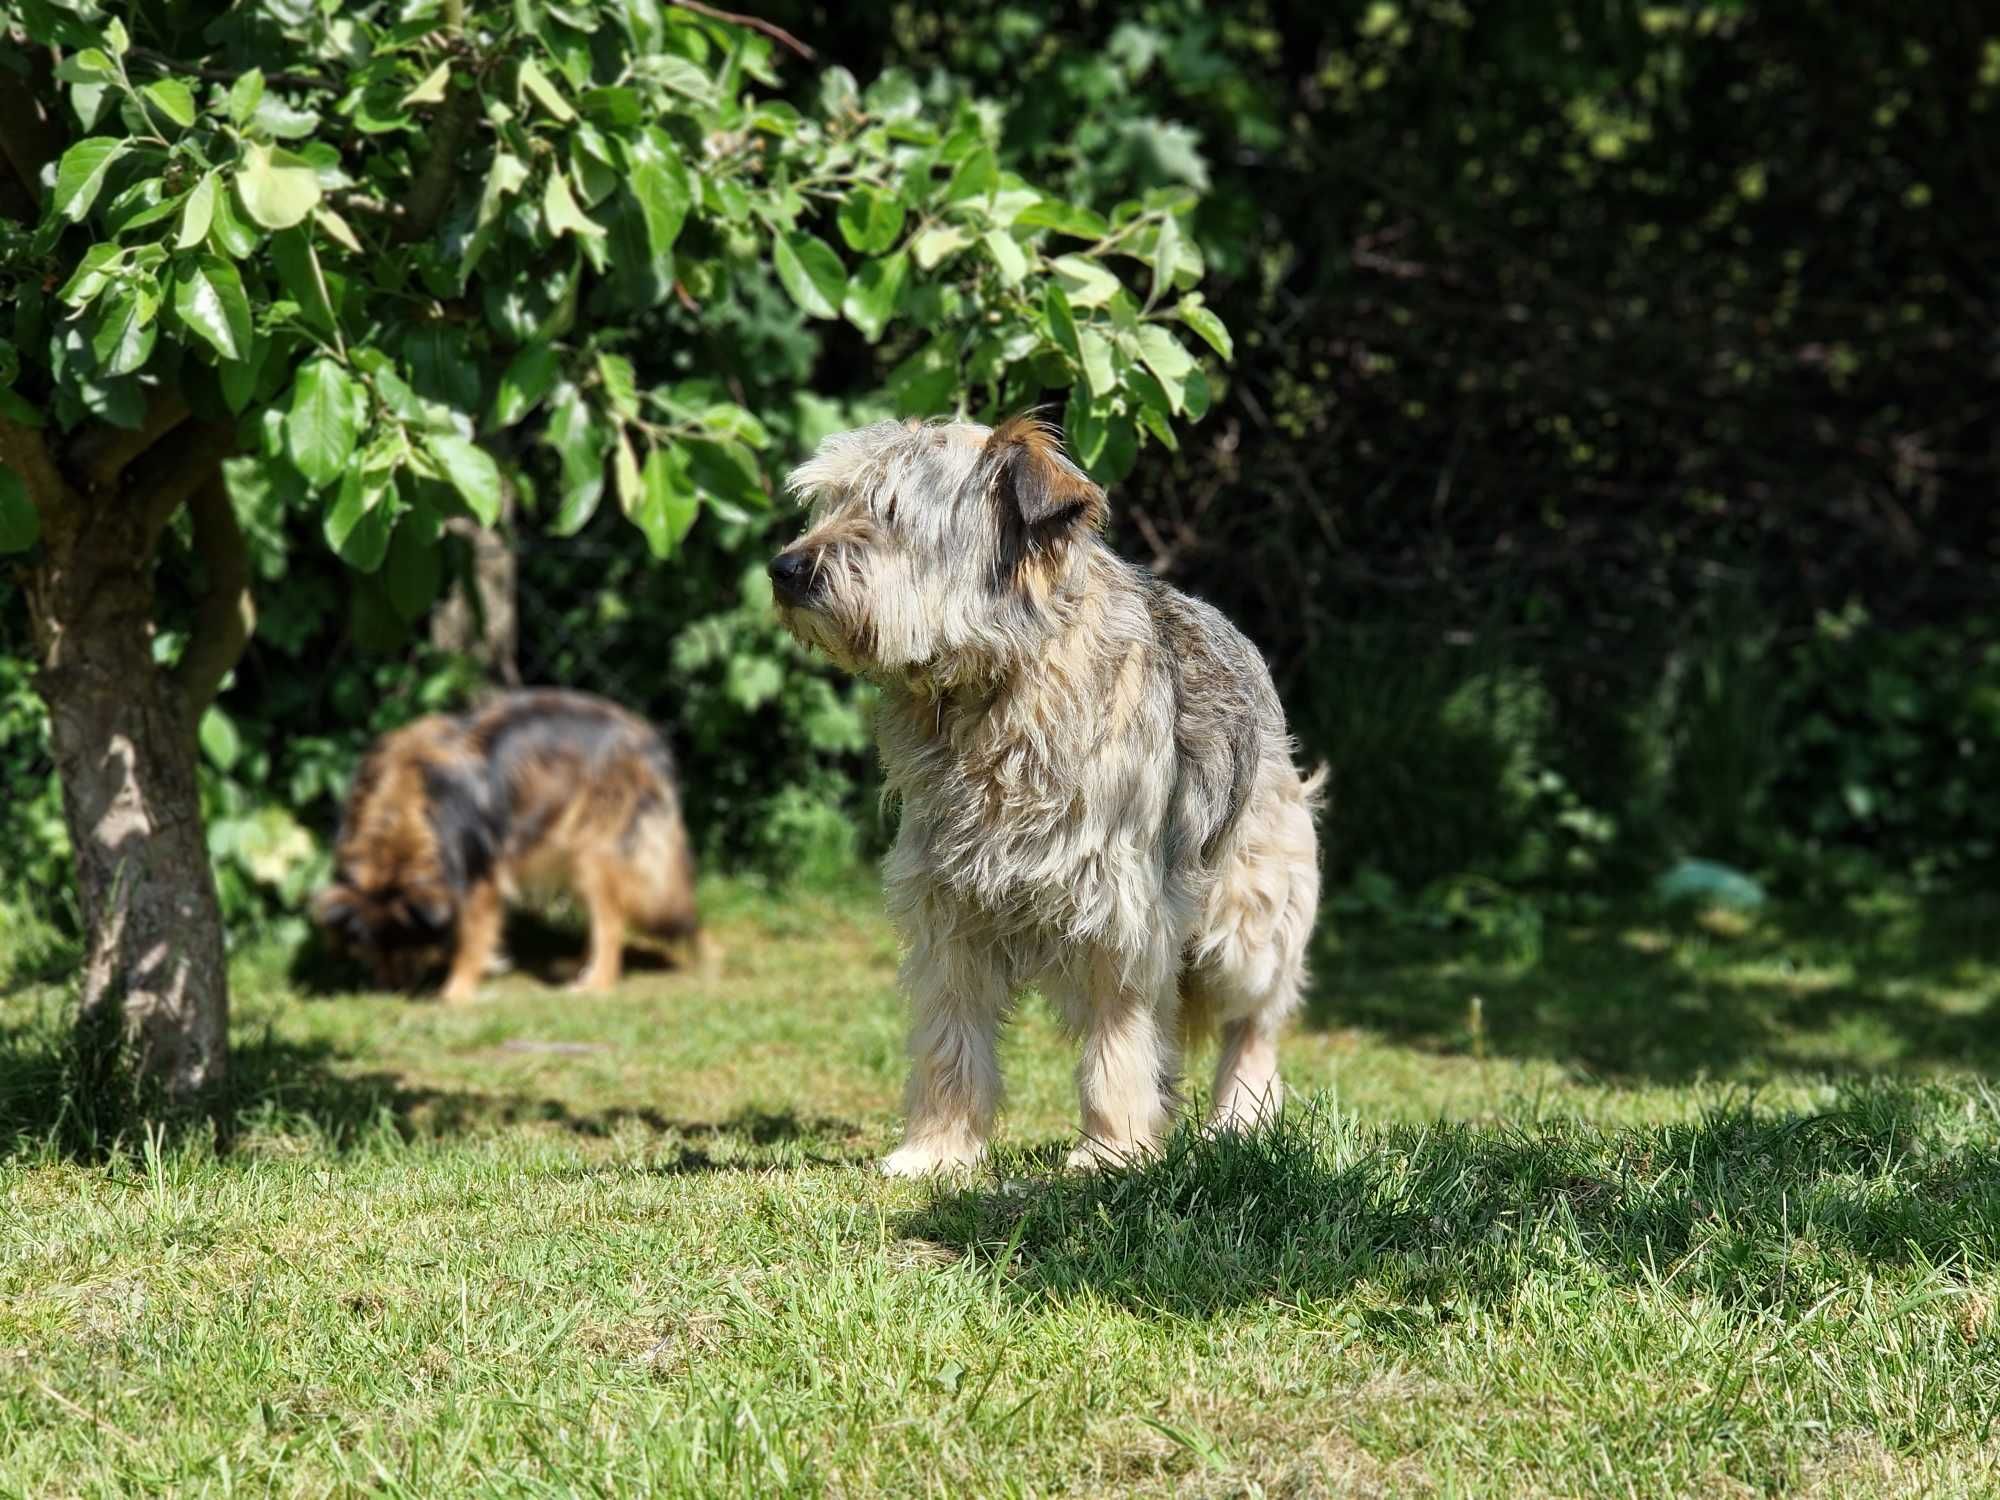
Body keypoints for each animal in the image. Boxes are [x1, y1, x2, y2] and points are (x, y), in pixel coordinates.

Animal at [316, 696, 708, 1004]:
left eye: (406, 941)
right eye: (371, 946)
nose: (390, 994)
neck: (400, 809)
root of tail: (647, 737)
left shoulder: (478, 874)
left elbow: (473, 936)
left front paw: (456, 992)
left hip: (594, 851)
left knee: (610, 922)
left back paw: (597, 982)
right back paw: (578, 967)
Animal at [772, 418, 1320, 1184]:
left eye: (890, 510)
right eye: (829, 503)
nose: (784, 569)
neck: (992, 693)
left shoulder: (1121, 911)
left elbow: (1118, 1045)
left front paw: (1111, 1153)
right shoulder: (946, 908)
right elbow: (950, 1040)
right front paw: (937, 1152)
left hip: (1248, 917)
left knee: (1254, 1020)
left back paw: (1238, 1121)